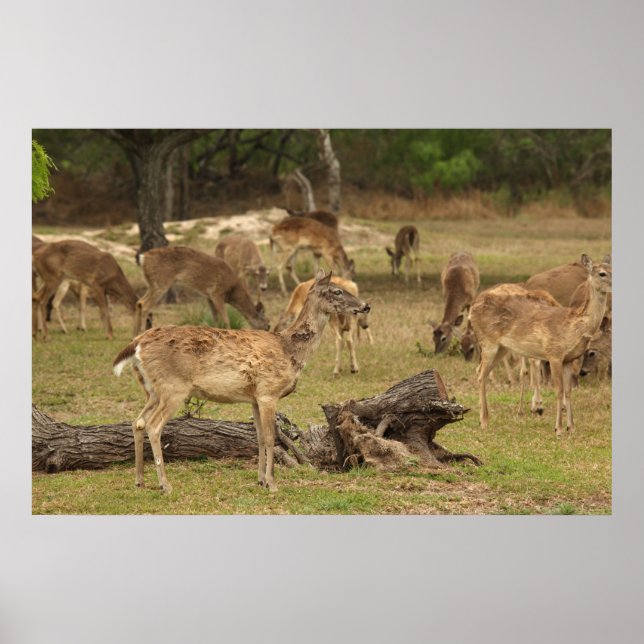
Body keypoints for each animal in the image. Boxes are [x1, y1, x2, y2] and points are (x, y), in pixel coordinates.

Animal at [113, 271, 370, 494]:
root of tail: (137, 344)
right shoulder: (268, 392)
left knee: (137, 422)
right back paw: (164, 485)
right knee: (153, 426)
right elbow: (271, 438)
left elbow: (259, 438)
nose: (365, 305)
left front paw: (260, 480)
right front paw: (272, 483)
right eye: (337, 291)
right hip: (173, 388)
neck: (290, 350)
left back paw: (140, 481)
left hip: (151, 390)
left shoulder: (254, 398)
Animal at [133, 245, 270, 336]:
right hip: (161, 282)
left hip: (152, 284)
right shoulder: (217, 293)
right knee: (145, 305)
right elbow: (226, 320)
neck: (231, 290)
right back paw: (141, 334)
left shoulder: (208, 296)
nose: (267, 329)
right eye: (267, 323)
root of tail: (143, 258)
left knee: (139, 302)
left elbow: (215, 319)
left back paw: (134, 335)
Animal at [469, 254, 611, 436]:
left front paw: (571, 427)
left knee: (479, 371)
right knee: (481, 374)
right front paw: (558, 428)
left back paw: (483, 419)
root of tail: (472, 307)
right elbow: (558, 390)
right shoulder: (554, 353)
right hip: (488, 342)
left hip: (502, 347)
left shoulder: (568, 359)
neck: (574, 325)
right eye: (602, 273)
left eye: (612, 269)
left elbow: (568, 391)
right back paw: (484, 421)